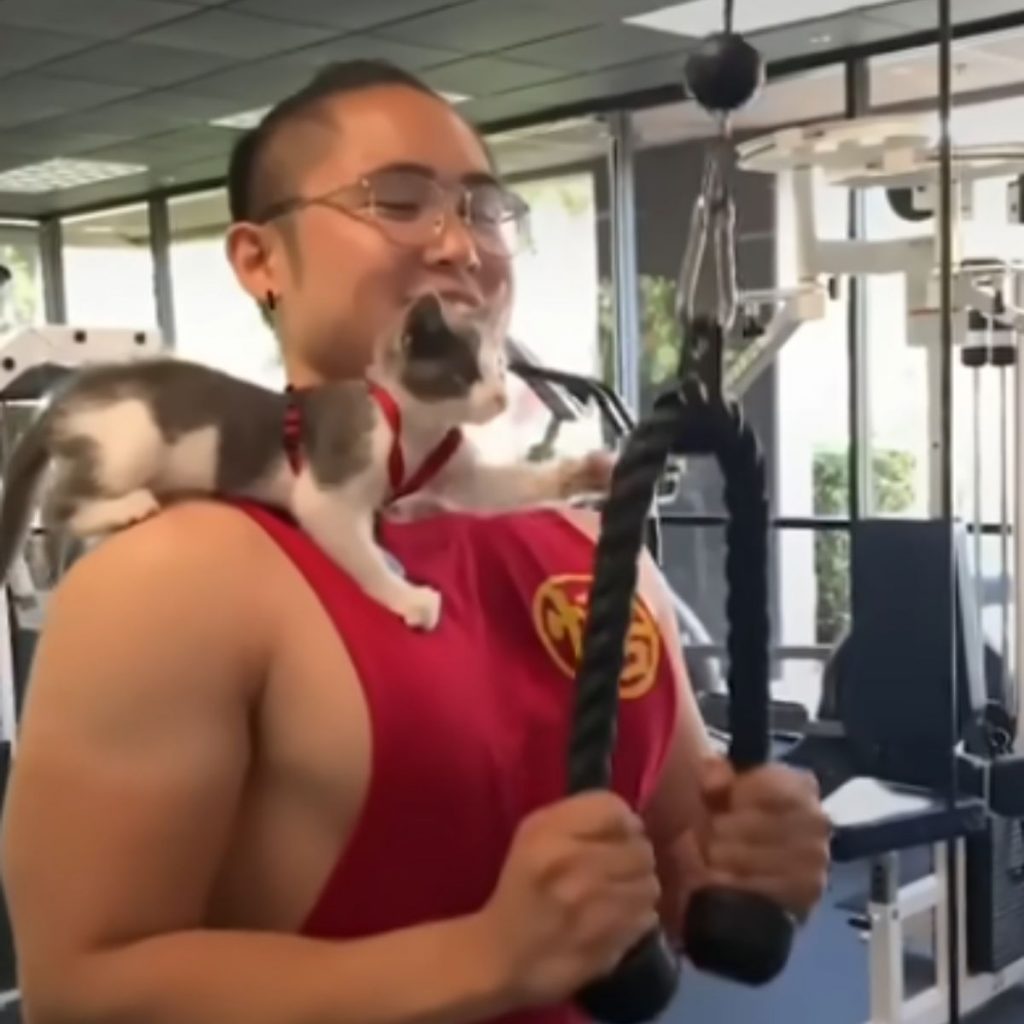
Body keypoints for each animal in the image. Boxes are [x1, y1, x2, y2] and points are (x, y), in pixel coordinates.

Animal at [0, 294, 610, 630]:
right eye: (465, 375)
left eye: (500, 370)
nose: (502, 399)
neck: (410, 428)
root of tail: (62, 397)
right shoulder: (331, 481)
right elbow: (353, 546)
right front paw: (407, 597)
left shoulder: (454, 470)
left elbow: (497, 489)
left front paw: (585, 471)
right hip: (130, 437)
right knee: (57, 503)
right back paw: (122, 507)